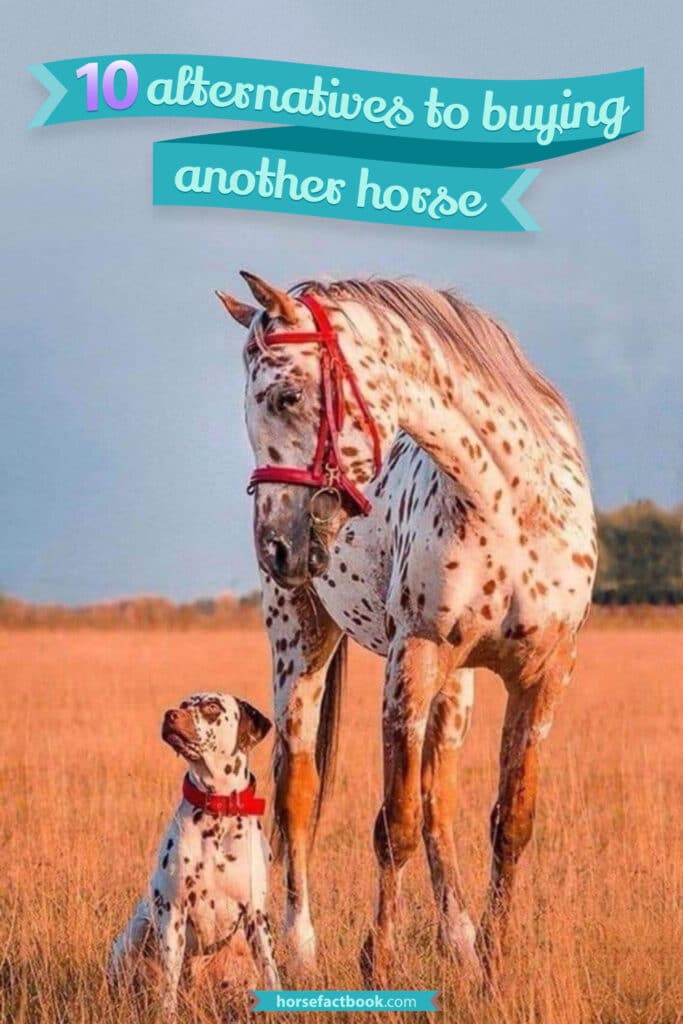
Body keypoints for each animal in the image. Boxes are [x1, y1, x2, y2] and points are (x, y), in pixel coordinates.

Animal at [216, 272, 596, 986]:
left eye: (286, 395)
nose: (275, 547)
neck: (508, 503)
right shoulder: (411, 661)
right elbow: (391, 825)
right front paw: (378, 965)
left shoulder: (543, 678)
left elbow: (508, 822)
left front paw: (492, 968)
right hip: (299, 645)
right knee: (299, 793)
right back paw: (301, 947)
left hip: (458, 685)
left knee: (437, 800)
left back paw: (460, 941)